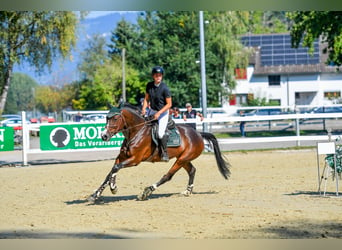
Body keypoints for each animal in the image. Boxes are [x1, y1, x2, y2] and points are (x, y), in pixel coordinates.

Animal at [87, 102, 231, 202]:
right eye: (106, 118)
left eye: (115, 119)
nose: (104, 136)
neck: (136, 132)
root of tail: (198, 134)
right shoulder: (121, 157)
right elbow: (111, 172)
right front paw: (95, 194)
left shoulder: (135, 160)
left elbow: (116, 168)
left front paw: (113, 188)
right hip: (183, 158)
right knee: (192, 170)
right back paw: (187, 191)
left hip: (182, 159)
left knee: (168, 176)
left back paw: (146, 192)